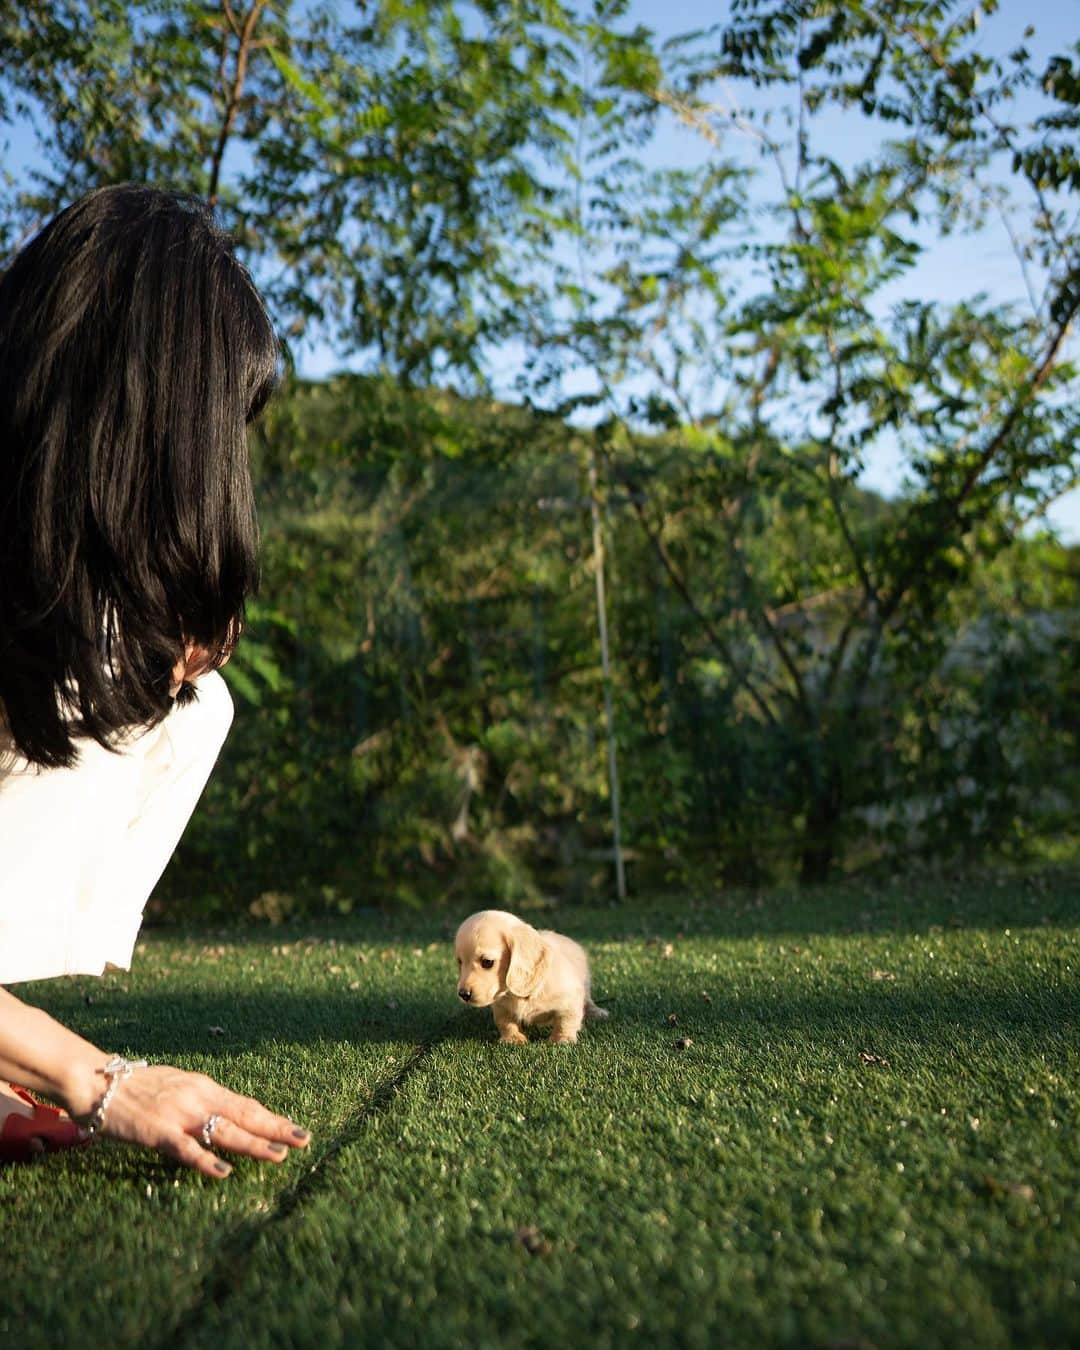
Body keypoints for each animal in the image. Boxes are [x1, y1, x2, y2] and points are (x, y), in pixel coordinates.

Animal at [453, 912, 607, 1047]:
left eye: (487, 962)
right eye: (460, 962)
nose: (463, 994)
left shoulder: (571, 998)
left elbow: (566, 1020)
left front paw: (562, 1039)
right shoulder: (501, 1007)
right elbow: (506, 1022)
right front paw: (512, 1038)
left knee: (588, 1001)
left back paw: (597, 1012)